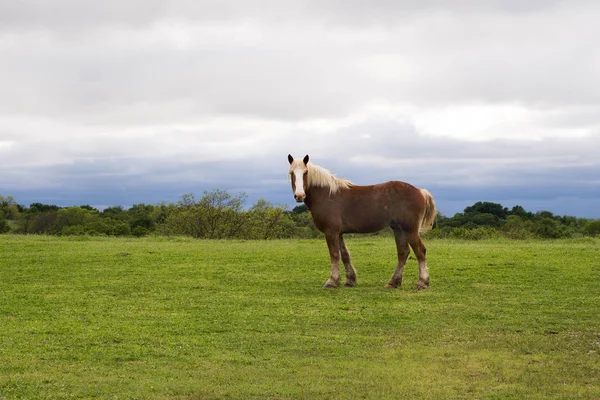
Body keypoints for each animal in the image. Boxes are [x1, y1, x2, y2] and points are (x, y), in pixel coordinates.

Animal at [288, 152, 436, 288]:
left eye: (305, 172)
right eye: (292, 173)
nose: (299, 195)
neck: (327, 195)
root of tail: (420, 191)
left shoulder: (331, 231)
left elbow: (334, 255)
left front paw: (332, 281)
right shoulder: (338, 233)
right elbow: (345, 255)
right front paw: (349, 280)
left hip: (410, 230)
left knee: (420, 251)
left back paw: (422, 282)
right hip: (398, 229)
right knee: (403, 253)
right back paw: (393, 282)